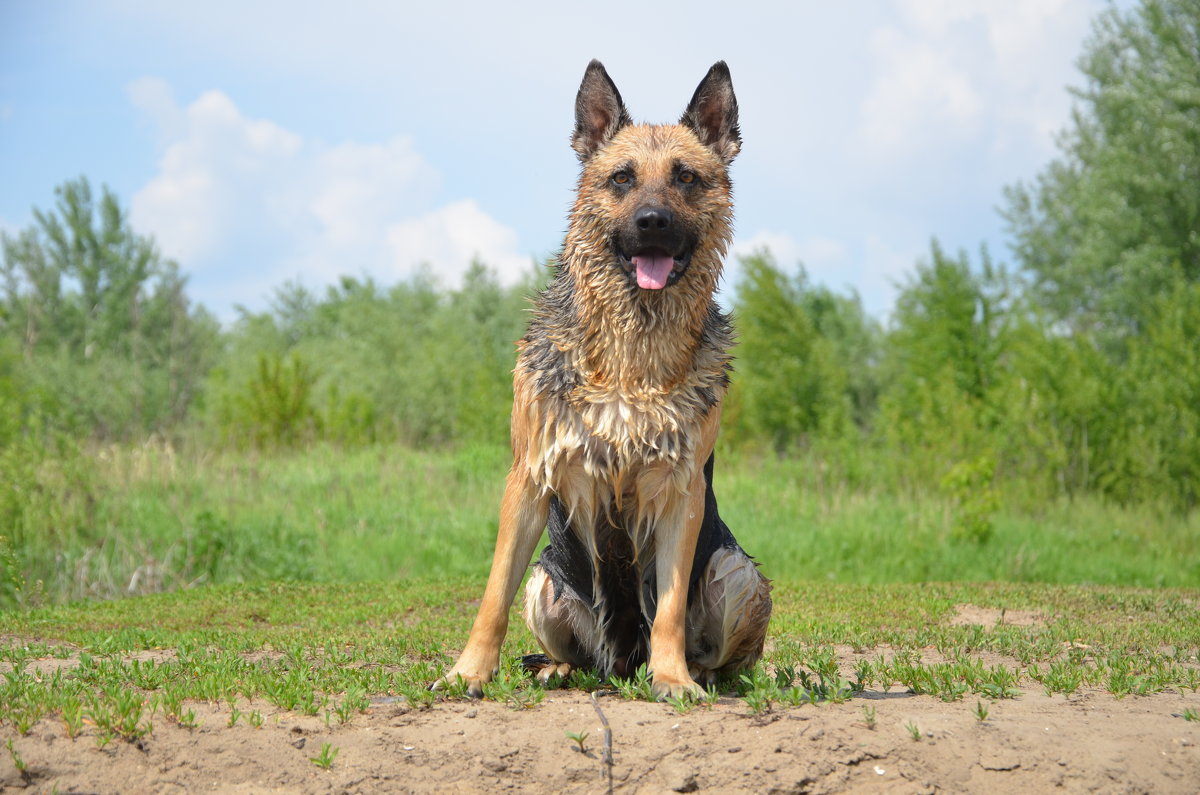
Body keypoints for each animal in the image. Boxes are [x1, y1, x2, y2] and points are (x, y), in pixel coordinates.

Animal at [436, 59, 772, 701]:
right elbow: (492, 595)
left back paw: (699, 676)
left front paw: (673, 678)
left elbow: (668, 609)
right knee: (577, 652)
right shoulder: (528, 477)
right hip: (546, 582)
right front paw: (469, 671)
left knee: (721, 657)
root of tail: (619, 665)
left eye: (686, 177)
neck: (629, 355)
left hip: (737, 573)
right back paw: (563, 669)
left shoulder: (680, 493)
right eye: (621, 178)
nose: (652, 221)